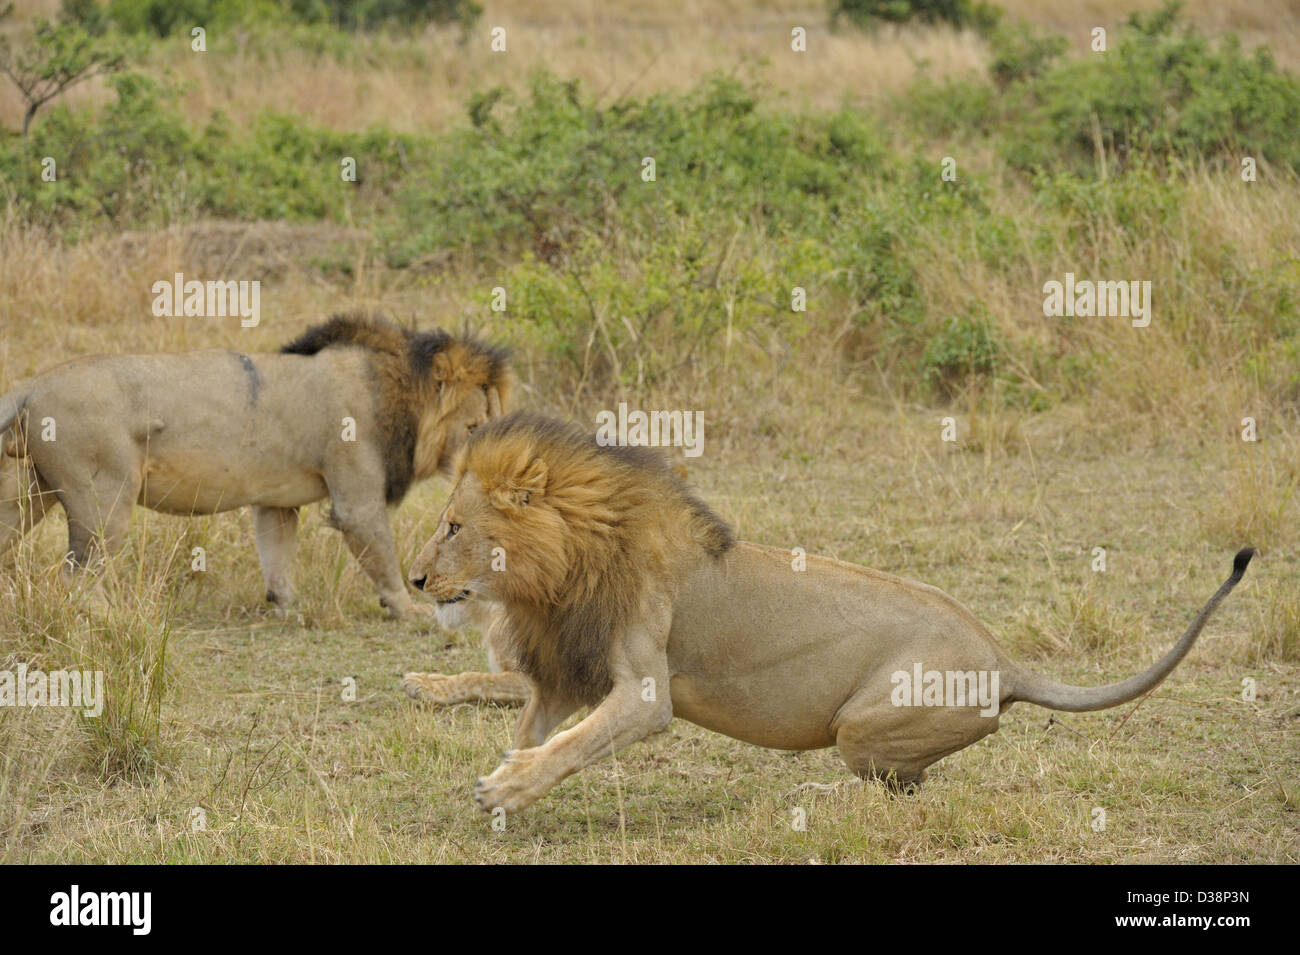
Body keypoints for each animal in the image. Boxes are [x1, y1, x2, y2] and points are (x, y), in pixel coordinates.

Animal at [3, 314, 512, 621]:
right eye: (474, 425)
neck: (395, 390)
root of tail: (32, 385)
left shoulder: (275, 504)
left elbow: (277, 556)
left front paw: (289, 609)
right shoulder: (356, 497)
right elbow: (384, 557)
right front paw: (411, 611)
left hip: (27, 495)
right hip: (104, 499)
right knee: (76, 578)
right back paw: (115, 618)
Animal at [408, 410, 1258, 815]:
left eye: (452, 525)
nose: (414, 579)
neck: (561, 566)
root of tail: (1006, 660)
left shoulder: (646, 692)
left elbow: (575, 743)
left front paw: (503, 790)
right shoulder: (563, 671)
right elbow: (536, 727)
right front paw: (505, 783)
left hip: (864, 722)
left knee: (891, 789)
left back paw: (811, 799)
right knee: (911, 787)